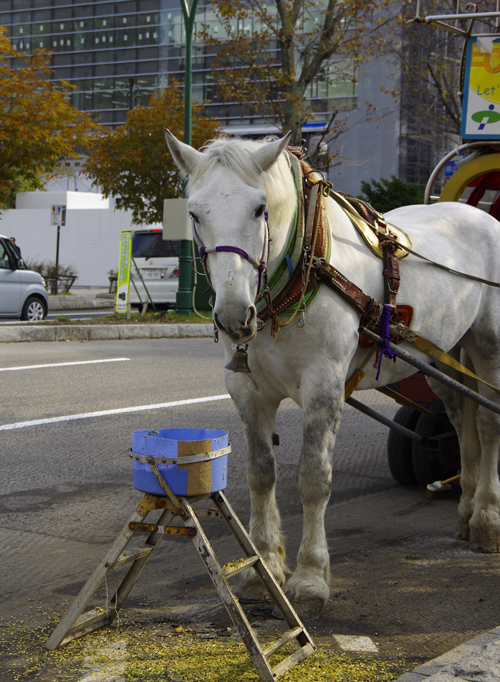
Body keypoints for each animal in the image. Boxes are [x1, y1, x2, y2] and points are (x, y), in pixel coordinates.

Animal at [165, 129, 500, 616]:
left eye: (260, 208)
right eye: (194, 213)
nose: (232, 316)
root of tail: (479, 213)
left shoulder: (324, 385)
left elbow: (313, 478)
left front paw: (309, 577)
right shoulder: (247, 389)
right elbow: (260, 474)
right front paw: (263, 568)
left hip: (488, 341)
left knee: (489, 422)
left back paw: (488, 517)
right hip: (444, 352)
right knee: (462, 418)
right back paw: (468, 507)